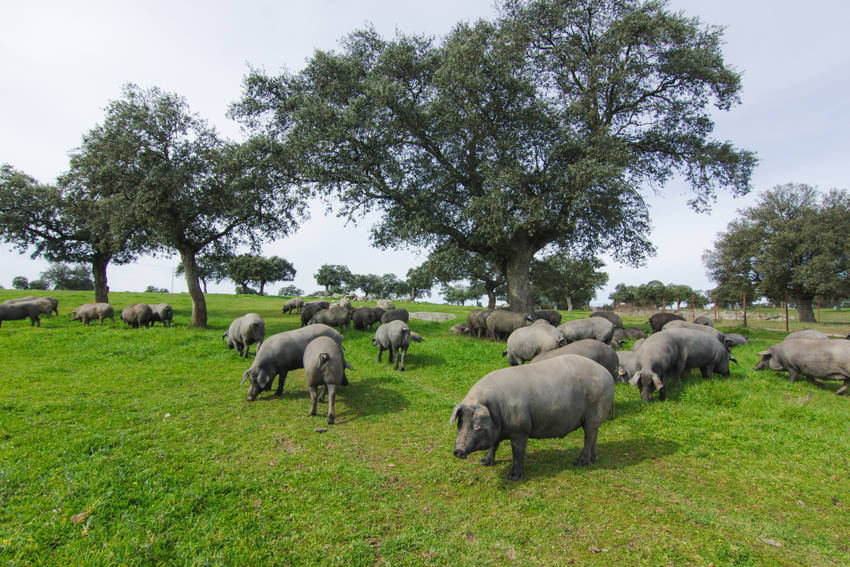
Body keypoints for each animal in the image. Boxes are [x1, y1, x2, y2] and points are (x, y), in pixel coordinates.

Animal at [450, 358, 608, 482]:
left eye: (476, 426)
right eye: (460, 422)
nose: (458, 450)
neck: (496, 408)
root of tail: (606, 372)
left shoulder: (521, 430)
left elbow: (517, 453)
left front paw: (513, 478)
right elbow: (494, 445)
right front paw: (483, 463)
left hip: (594, 411)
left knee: (589, 436)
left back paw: (579, 462)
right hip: (594, 418)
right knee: (594, 435)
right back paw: (593, 460)